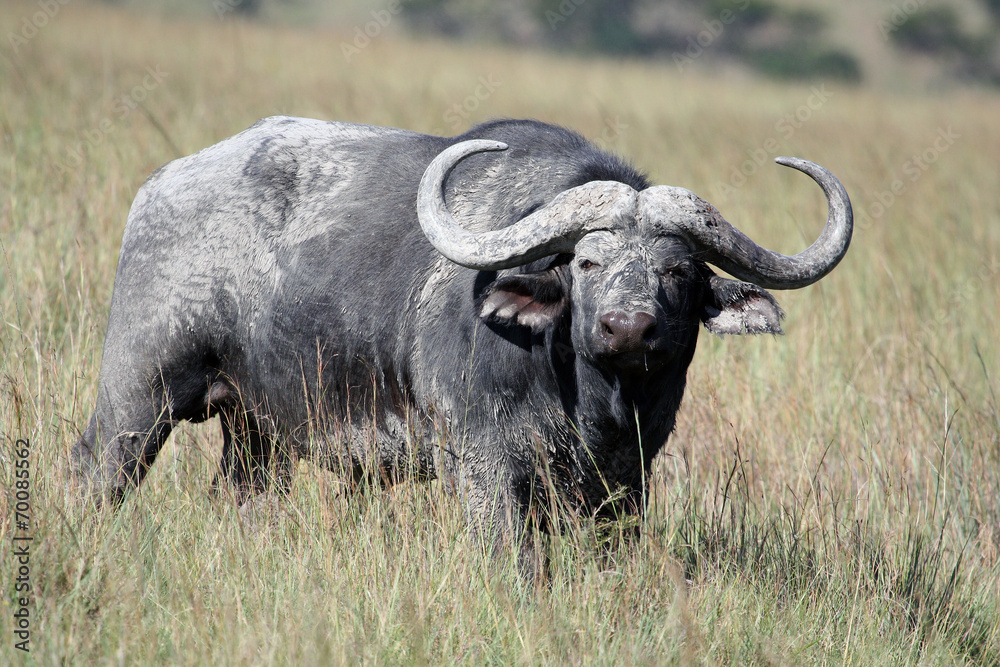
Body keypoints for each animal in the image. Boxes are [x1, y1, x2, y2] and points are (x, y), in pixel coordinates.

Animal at [72, 117, 852, 576]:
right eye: (586, 261)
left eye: (679, 271)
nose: (628, 328)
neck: (585, 400)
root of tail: (163, 185)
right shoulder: (483, 464)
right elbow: (514, 559)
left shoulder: (627, 481)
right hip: (140, 392)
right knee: (97, 467)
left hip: (257, 430)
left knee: (243, 494)